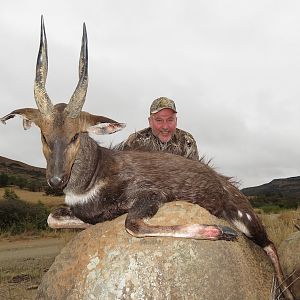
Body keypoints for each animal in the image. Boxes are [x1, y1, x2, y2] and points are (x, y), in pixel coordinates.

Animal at [0, 17, 294, 300]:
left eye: (75, 135)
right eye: (44, 136)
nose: (56, 180)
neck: (95, 176)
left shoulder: (152, 195)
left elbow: (132, 224)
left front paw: (219, 232)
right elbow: (54, 218)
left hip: (245, 218)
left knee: (270, 246)